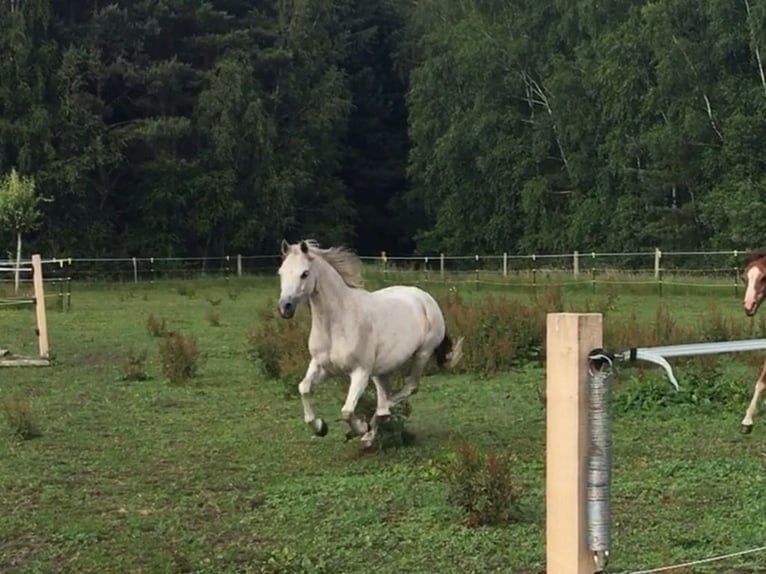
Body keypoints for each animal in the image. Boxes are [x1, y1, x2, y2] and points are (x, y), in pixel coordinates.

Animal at [280, 238, 464, 450]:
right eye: (281, 272)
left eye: (305, 273)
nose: (285, 307)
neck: (337, 322)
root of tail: (425, 297)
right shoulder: (321, 366)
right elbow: (304, 388)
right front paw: (320, 427)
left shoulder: (360, 372)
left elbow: (346, 411)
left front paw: (361, 426)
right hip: (380, 370)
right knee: (385, 397)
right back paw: (369, 434)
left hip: (421, 355)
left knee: (407, 389)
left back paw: (371, 426)